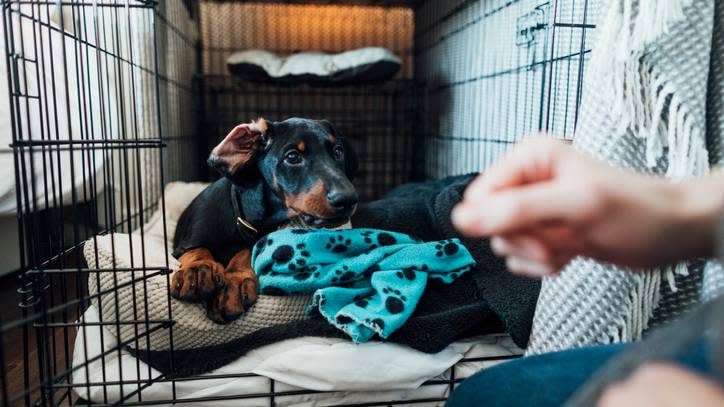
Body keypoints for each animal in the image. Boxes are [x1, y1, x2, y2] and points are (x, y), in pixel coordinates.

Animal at [173, 118, 360, 326]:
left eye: (338, 151)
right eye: (292, 156)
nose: (348, 199)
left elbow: (246, 252)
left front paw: (234, 283)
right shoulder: (184, 243)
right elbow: (197, 249)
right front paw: (198, 269)